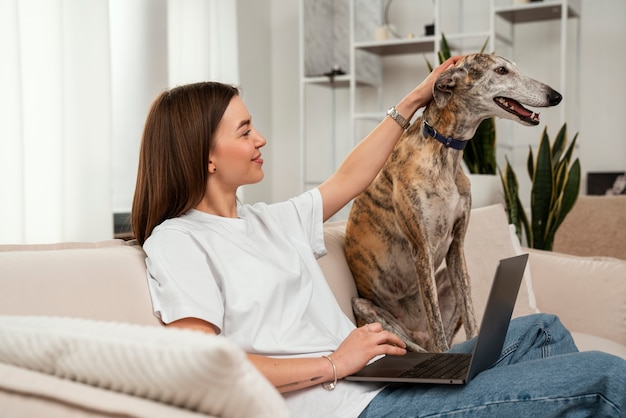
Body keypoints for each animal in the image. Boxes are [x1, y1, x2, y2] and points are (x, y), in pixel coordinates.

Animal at [344, 52, 560, 352]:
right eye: (501, 70)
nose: (556, 96)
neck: (444, 150)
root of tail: (417, 332)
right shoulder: (421, 251)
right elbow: (438, 329)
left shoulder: (457, 248)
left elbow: (471, 315)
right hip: (367, 307)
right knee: (416, 344)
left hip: (446, 278)